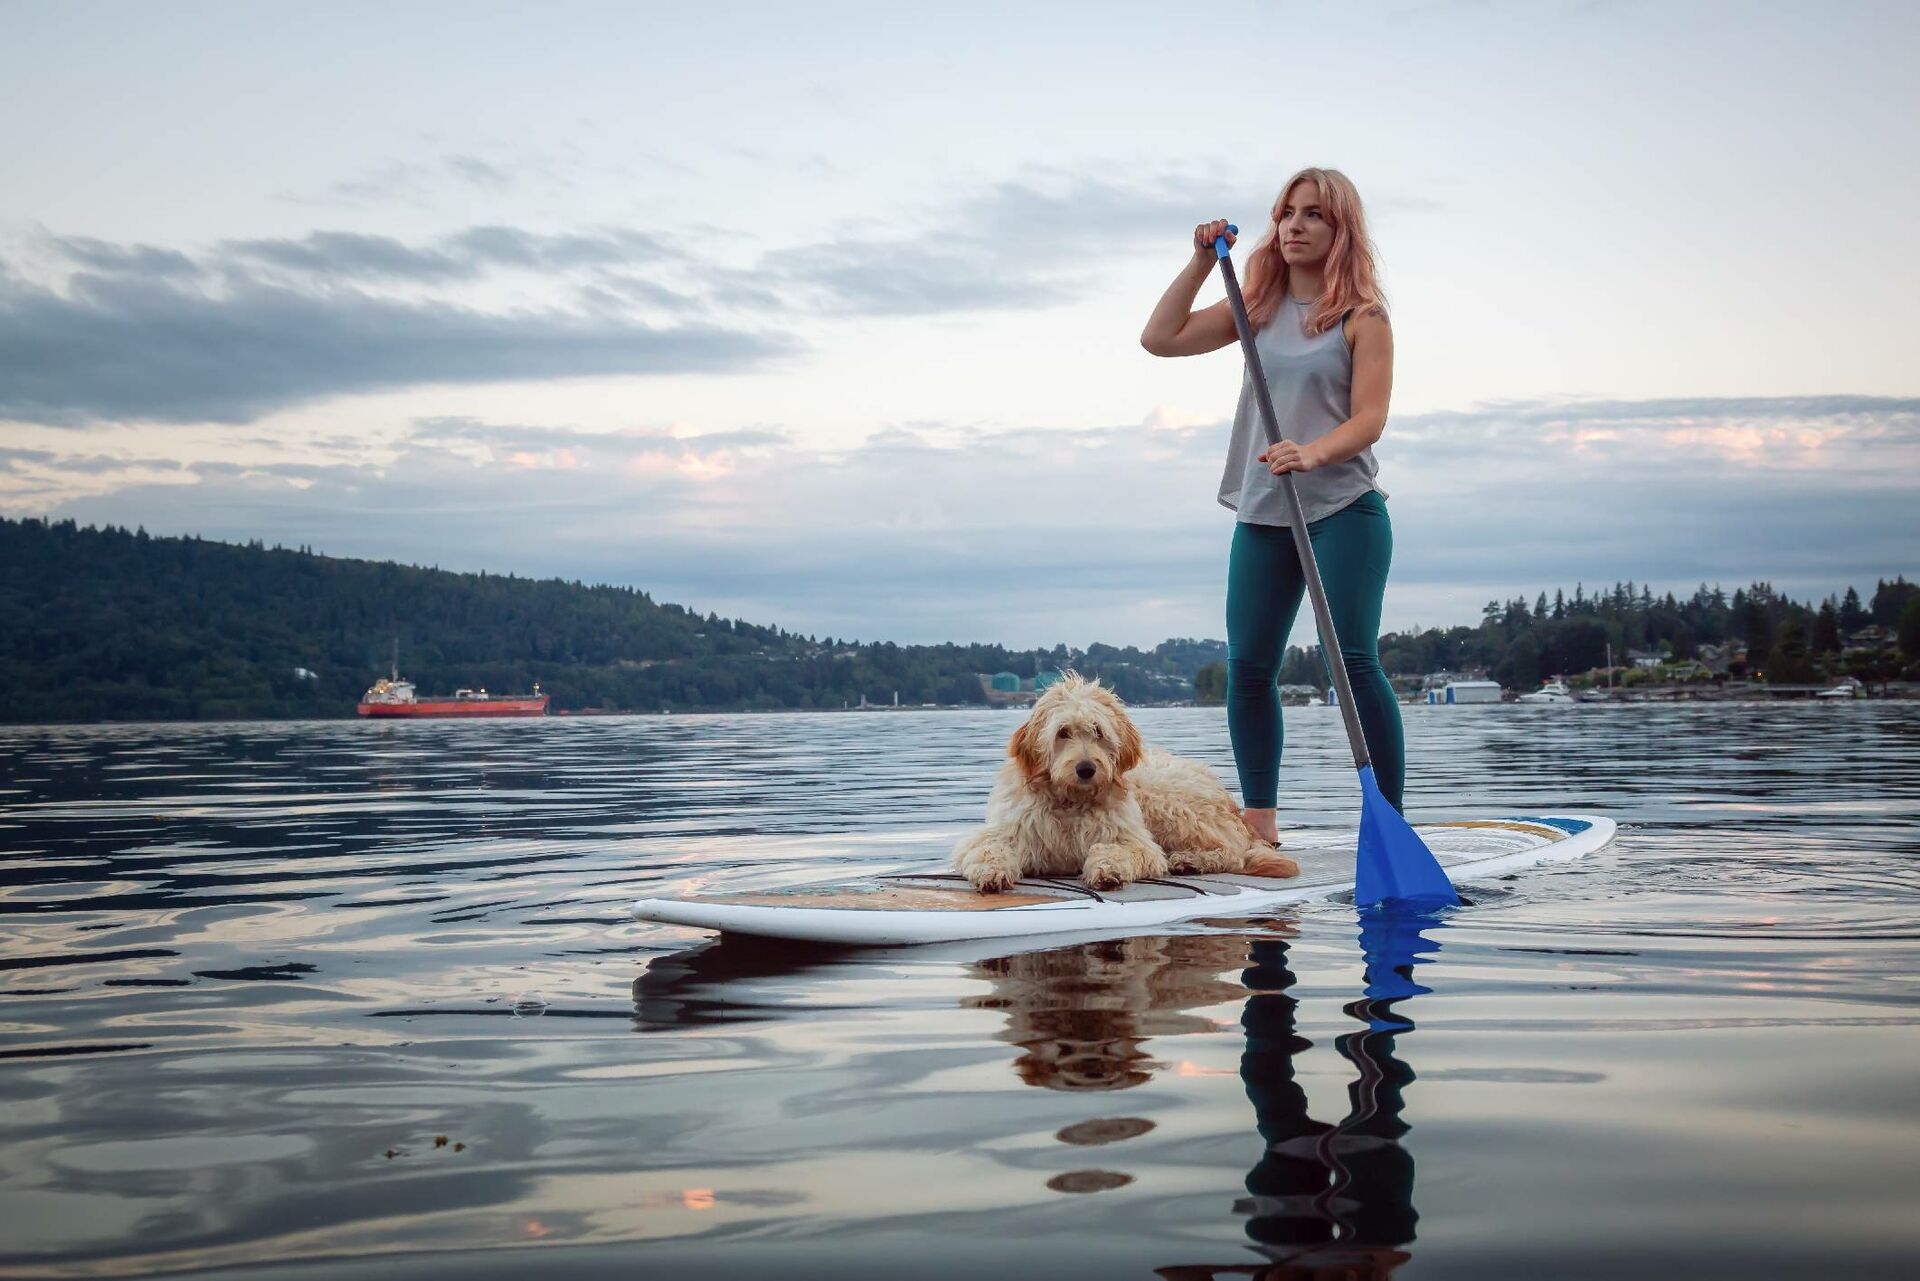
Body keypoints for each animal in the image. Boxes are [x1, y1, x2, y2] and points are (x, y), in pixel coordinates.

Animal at [952, 672, 1297, 891]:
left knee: (1231, 852)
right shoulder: (1007, 831)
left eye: (1098, 731)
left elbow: (1119, 850)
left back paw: (1190, 860)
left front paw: (1108, 869)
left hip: (1171, 805)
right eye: (1063, 732)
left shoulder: (1134, 840)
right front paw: (991, 871)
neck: (1070, 802)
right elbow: (987, 849)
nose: (1086, 768)